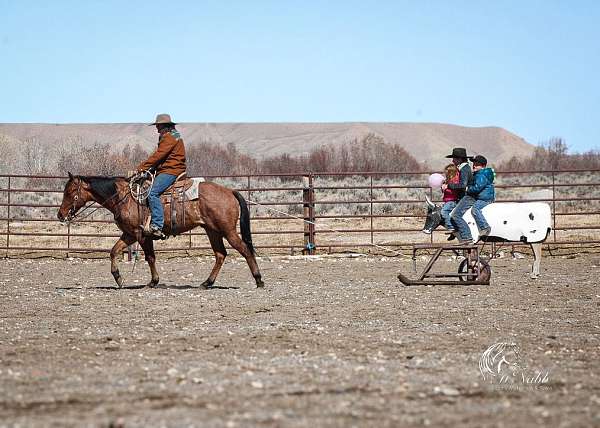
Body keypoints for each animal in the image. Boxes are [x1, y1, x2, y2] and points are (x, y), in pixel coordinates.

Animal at [57, 172, 264, 290]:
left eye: (69, 192)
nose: (60, 215)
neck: (124, 198)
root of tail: (230, 191)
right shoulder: (129, 234)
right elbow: (114, 251)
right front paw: (119, 279)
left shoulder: (142, 235)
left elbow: (150, 257)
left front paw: (153, 281)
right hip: (212, 231)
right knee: (220, 254)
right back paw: (207, 283)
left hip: (227, 230)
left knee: (245, 250)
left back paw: (259, 280)